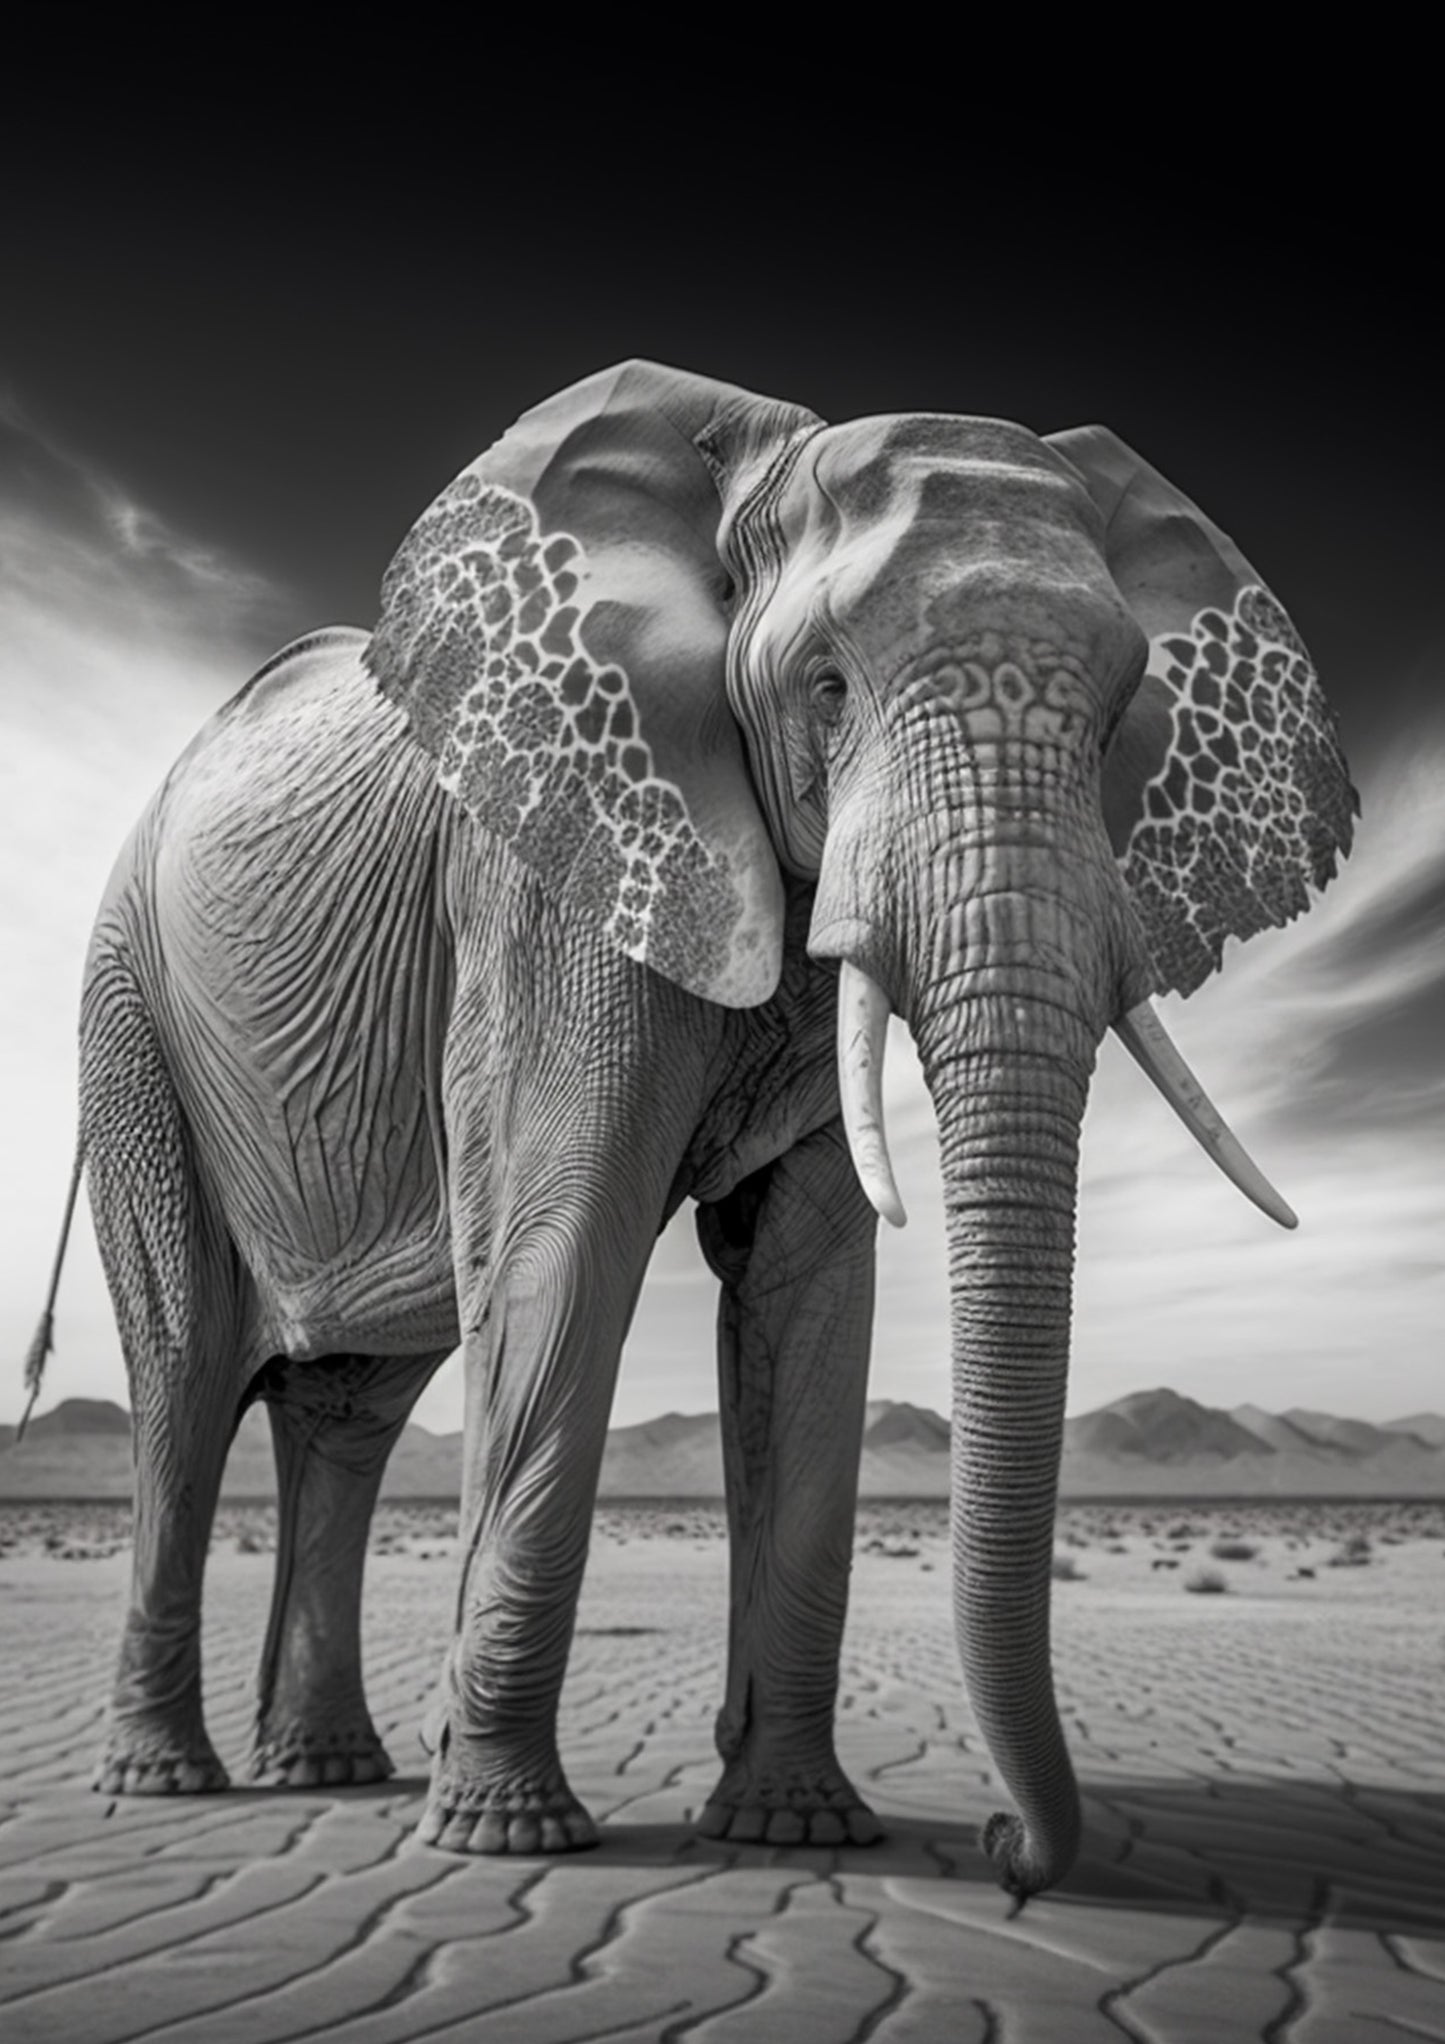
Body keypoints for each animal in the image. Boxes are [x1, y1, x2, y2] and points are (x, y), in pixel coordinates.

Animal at [35, 359, 1356, 1897]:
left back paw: (331, 1770)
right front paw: (507, 1835)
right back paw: (169, 1781)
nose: (1005, 1848)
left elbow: (807, 1292)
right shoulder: (549, 872)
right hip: (132, 1025)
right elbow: (564, 1246)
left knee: (348, 1411)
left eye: (1115, 716)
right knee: (184, 1373)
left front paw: (797, 1827)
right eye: (827, 687)